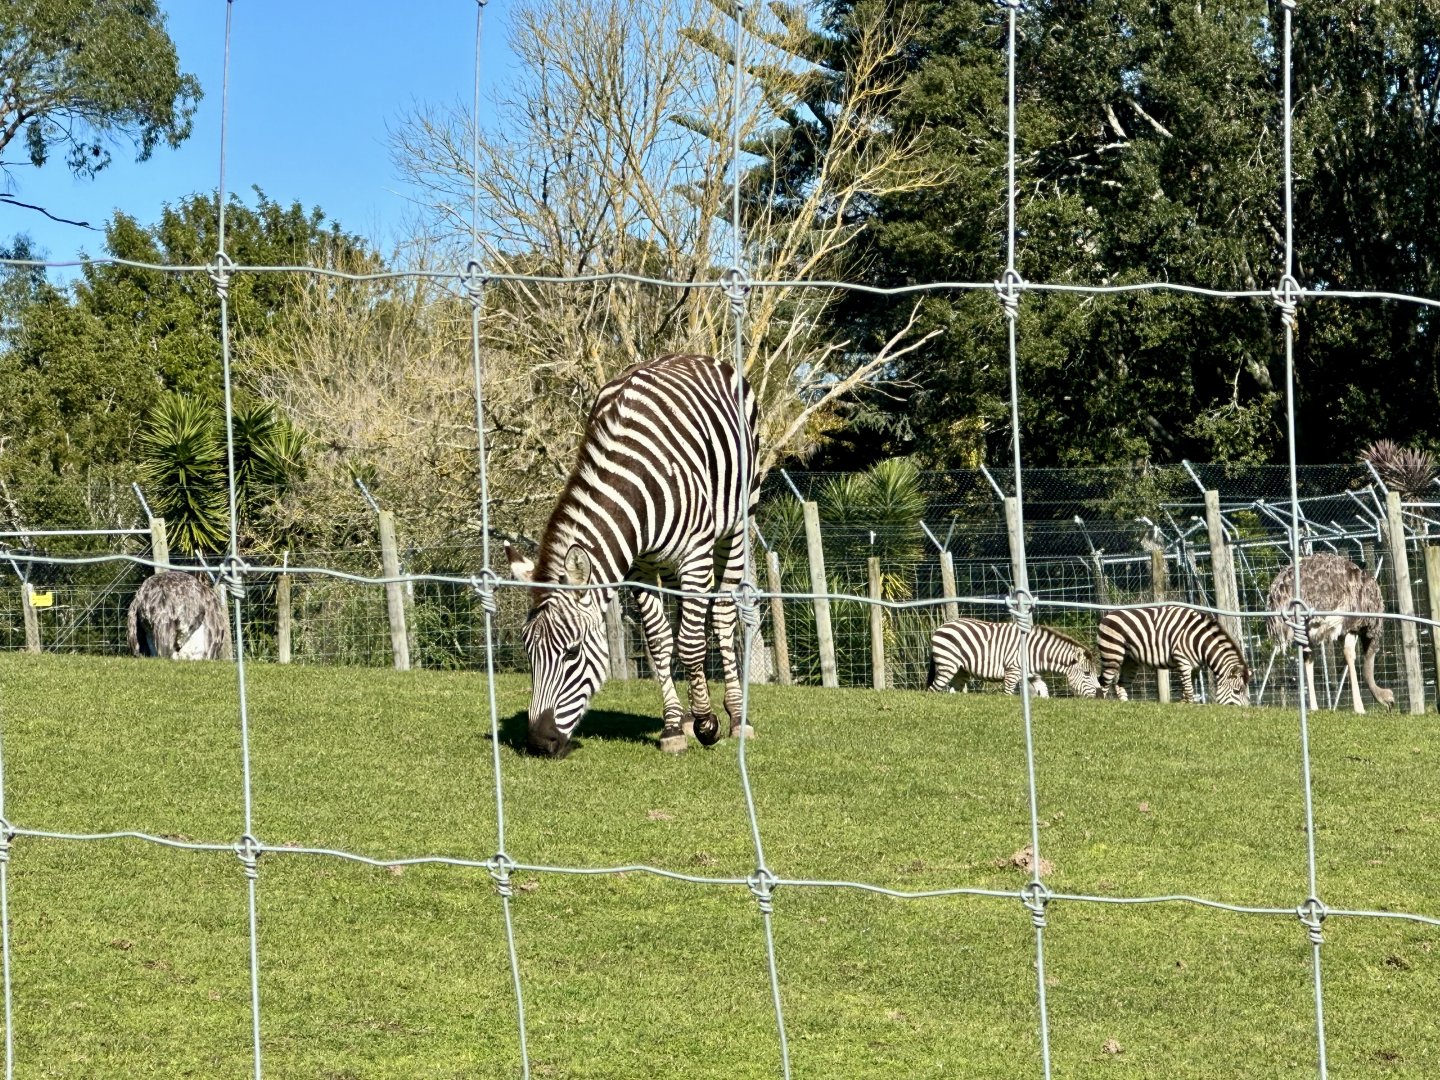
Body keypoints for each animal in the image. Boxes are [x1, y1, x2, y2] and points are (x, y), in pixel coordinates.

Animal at [504, 354, 758, 757]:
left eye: (572, 653)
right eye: (529, 655)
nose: (539, 743)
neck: (634, 486)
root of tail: (691, 356)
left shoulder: (696, 554)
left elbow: (690, 644)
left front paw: (707, 724)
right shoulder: (638, 565)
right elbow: (659, 642)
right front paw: (674, 727)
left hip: (738, 523)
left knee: (721, 616)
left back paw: (735, 717)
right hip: (667, 563)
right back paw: (691, 715)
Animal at [926, 618, 1099, 698]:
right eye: (1086, 674)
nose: (1099, 695)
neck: (1036, 652)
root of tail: (942, 626)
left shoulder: (1033, 675)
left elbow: (1044, 692)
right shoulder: (1012, 671)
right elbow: (1008, 694)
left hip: (961, 671)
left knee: (953, 690)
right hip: (948, 665)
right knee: (932, 690)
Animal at [1096, 603, 1250, 706]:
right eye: (1237, 691)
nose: (1243, 711)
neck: (1197, 640)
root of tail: (1106, 616)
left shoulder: (1194, 667)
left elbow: (1186, 688)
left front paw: (1183, 705)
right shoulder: (1183, 661)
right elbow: (1189, 690)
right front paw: (1189, 706)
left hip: (1130, 660)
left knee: (1120, 685)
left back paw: (1125, 705)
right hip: (1112, 655)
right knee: (1103, 683)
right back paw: (1101, 706)